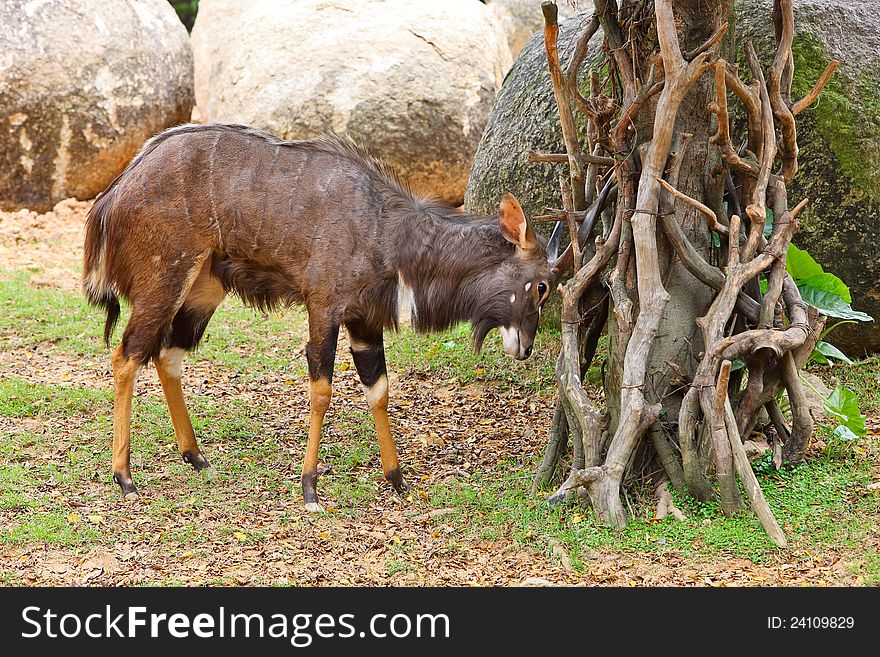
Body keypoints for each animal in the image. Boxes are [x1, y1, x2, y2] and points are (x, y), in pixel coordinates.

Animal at [81, 124, 552, 512]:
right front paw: (309, 488)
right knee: (127, 356)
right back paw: (125, 477)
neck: (385, 230)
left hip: (204, 288)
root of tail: (112, 196)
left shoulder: (364, 321)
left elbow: (378, 390)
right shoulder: (324, 307)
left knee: (166, 355)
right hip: (164, 281)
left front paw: (397, 479)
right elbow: (322, 391)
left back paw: (196, 456)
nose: (526, 348)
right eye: (543, 285)